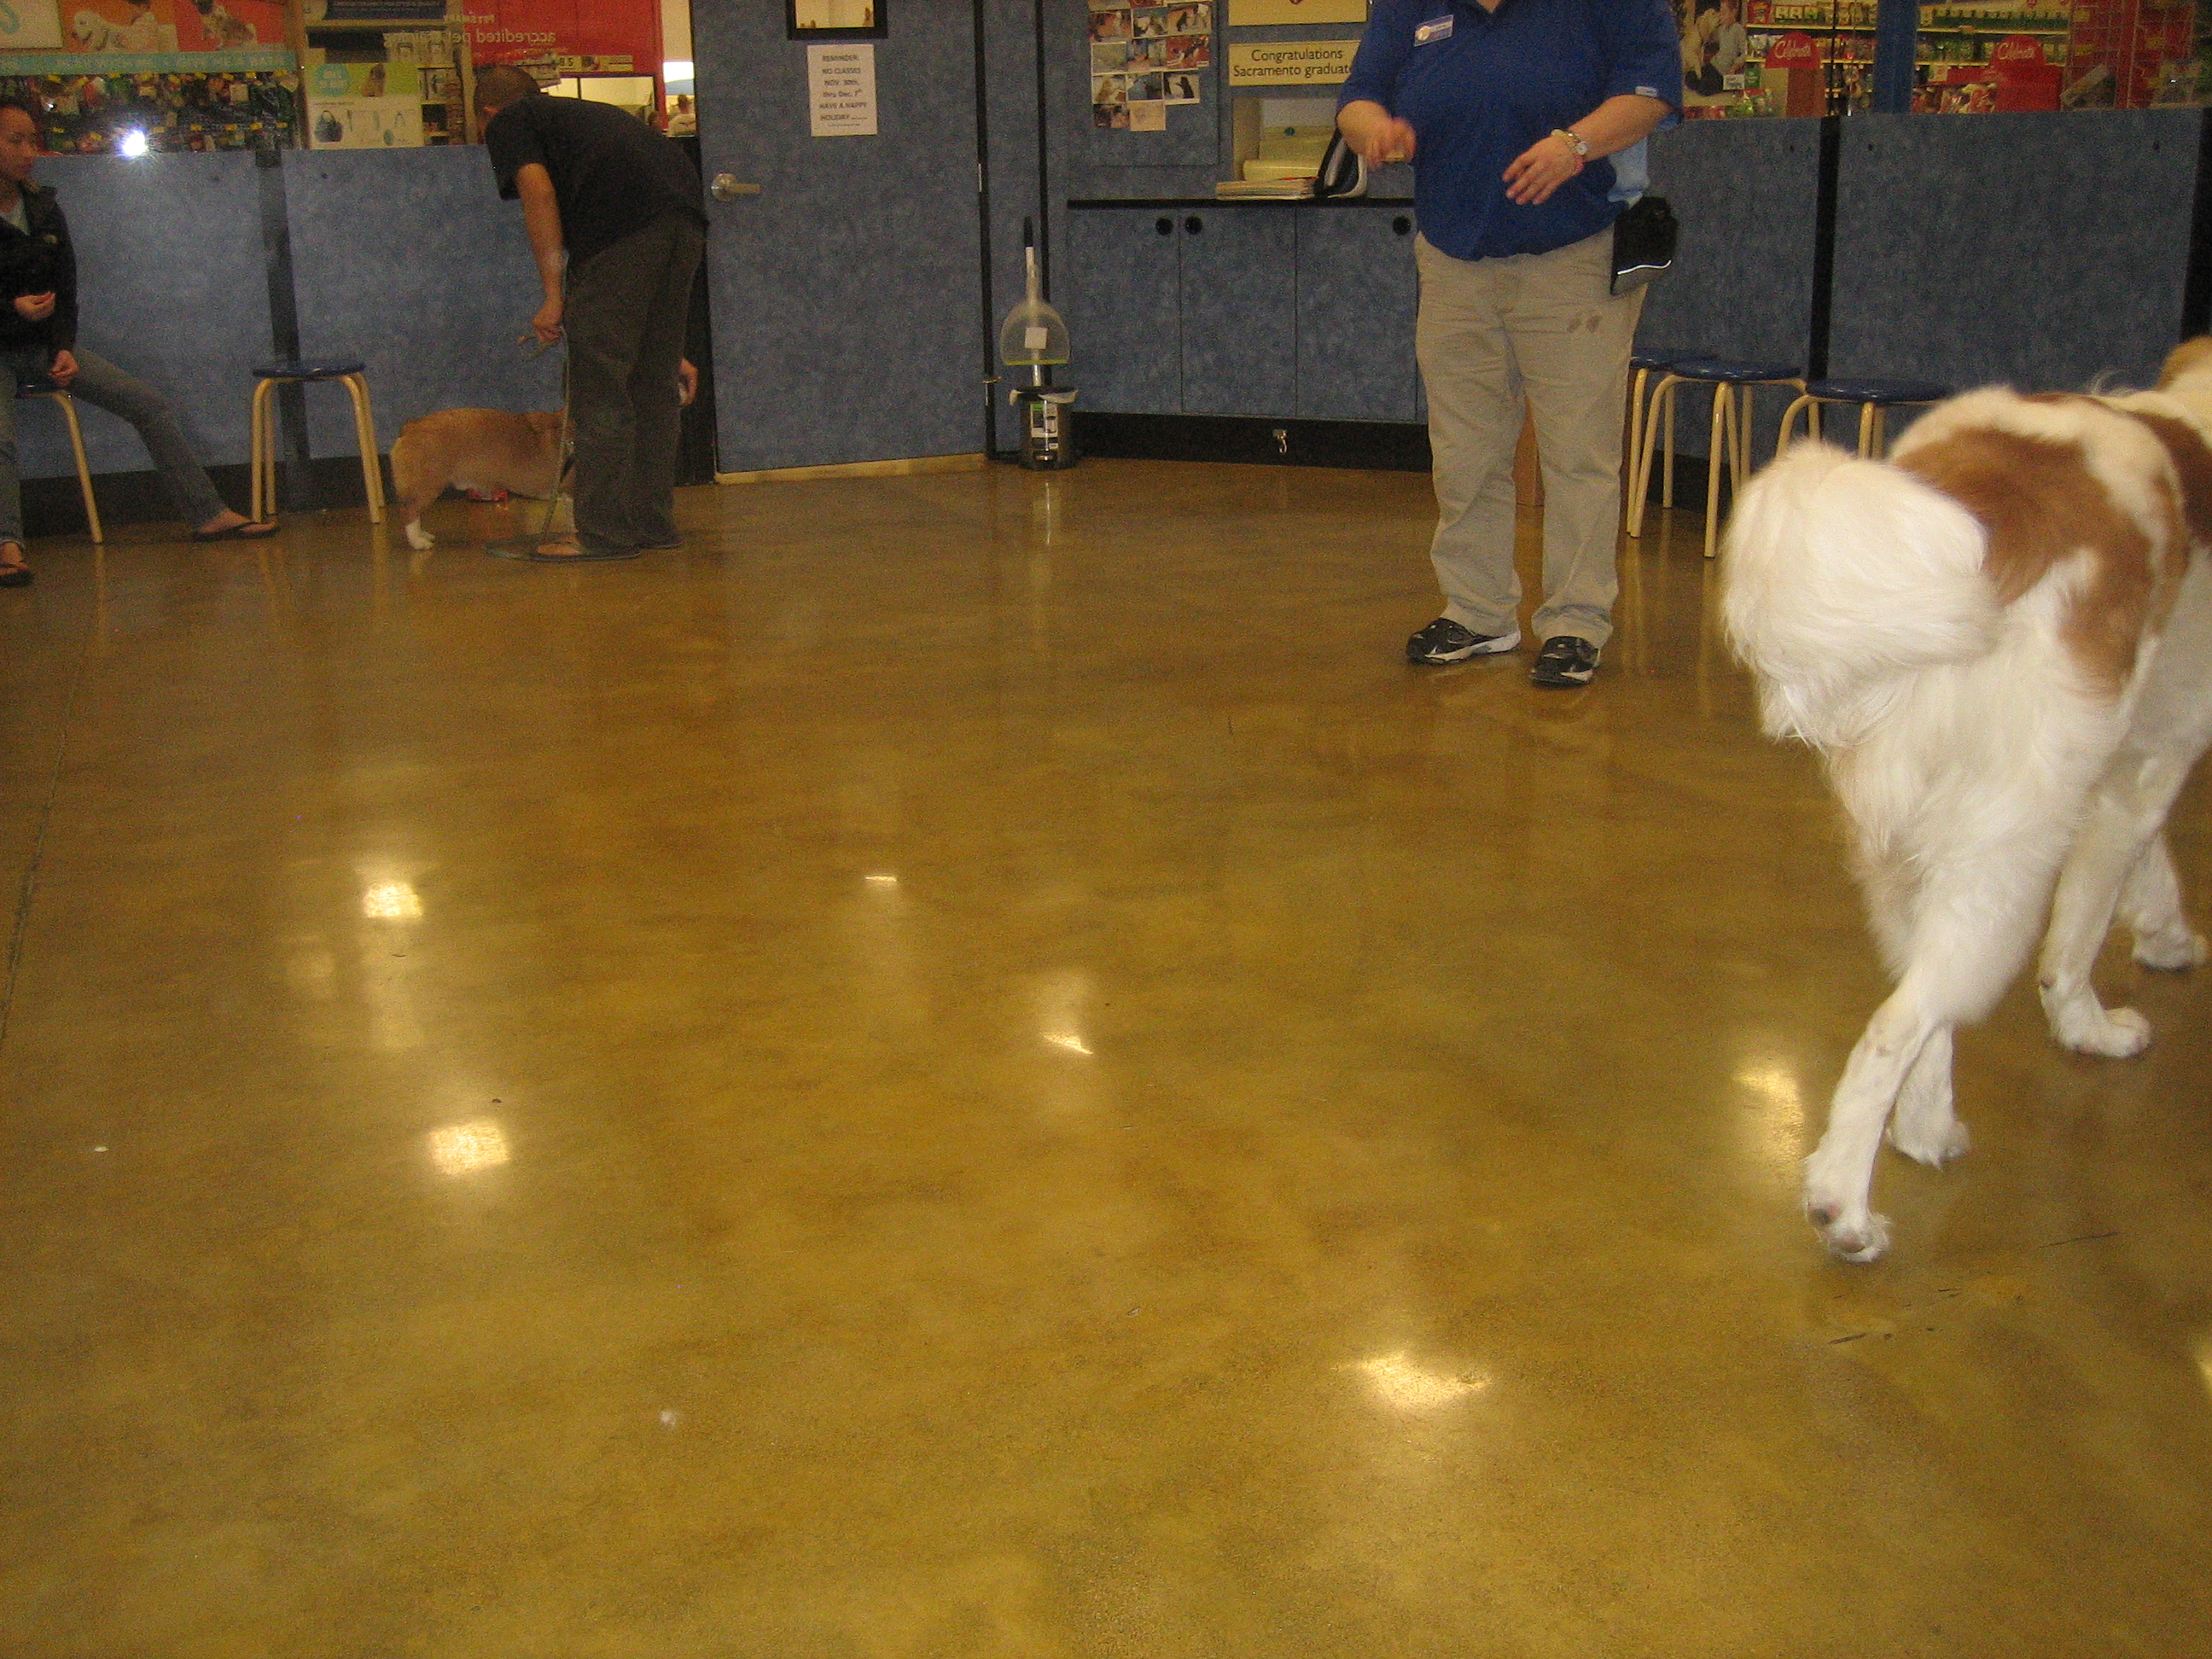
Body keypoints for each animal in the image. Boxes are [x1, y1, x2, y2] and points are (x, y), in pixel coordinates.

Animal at [1722, 340, 2212, 1261]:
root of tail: (1996, 499)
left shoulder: (2130, 766)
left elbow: (2151, 872)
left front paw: (2166, 936)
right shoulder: (2150, 764)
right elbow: (2079, 941)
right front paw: (2097, 1025)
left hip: (1908, 840)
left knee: (1925, 999)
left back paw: (1927, 1128)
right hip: (2008, 845)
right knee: (1899, 1025)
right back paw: (1843, 1203)